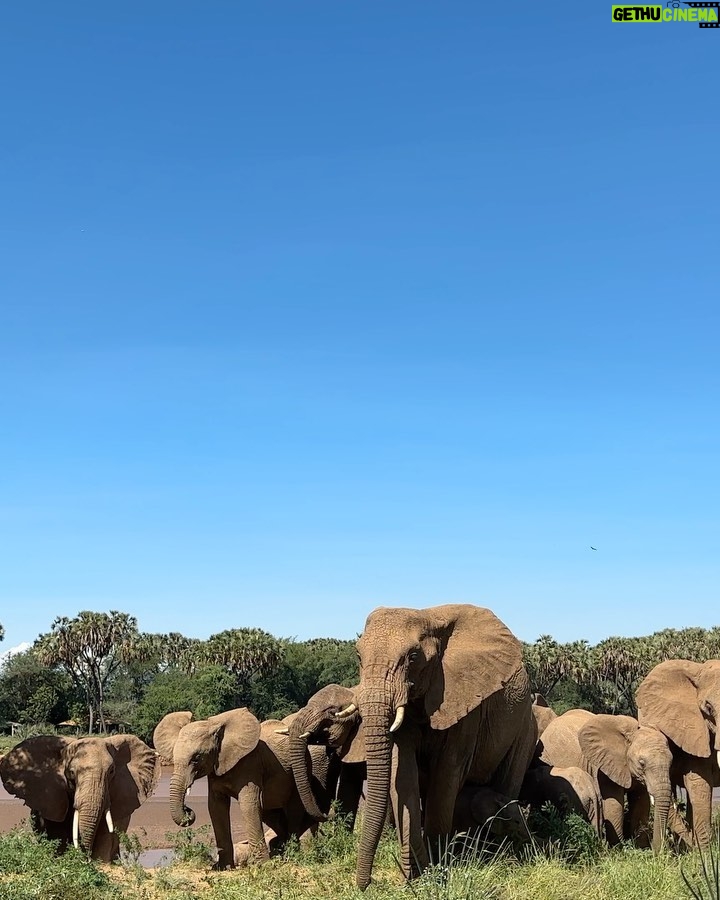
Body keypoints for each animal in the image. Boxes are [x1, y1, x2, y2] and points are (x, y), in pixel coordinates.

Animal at [153, 708, 336, 868]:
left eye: (197, 758)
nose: (187, 809)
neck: (215, 727)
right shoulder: (216, 769)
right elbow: (216, 807)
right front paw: (223, 867)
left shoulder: (251, 765)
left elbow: (249, 805)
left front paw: (262, 865)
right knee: (271, 814)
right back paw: (279, 851)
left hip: (302, 771)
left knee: (292, 811)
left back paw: (290, 855)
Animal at [346, 600, 536, 888]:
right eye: (358, 656)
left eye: (413, 657)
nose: (366, 884)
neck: (428, 617)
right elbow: (403, 774)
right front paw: (416, 877)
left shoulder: (466, 702)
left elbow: (447, 773)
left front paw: (436, 873)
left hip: (525, 726)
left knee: (507, 785)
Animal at [540, 708, 676, 848]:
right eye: (642, 763)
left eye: (671, 763)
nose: (659, 850)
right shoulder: (603, 767)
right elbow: (614, 804)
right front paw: (618, 848)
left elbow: (641, 803)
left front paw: (641, 848)